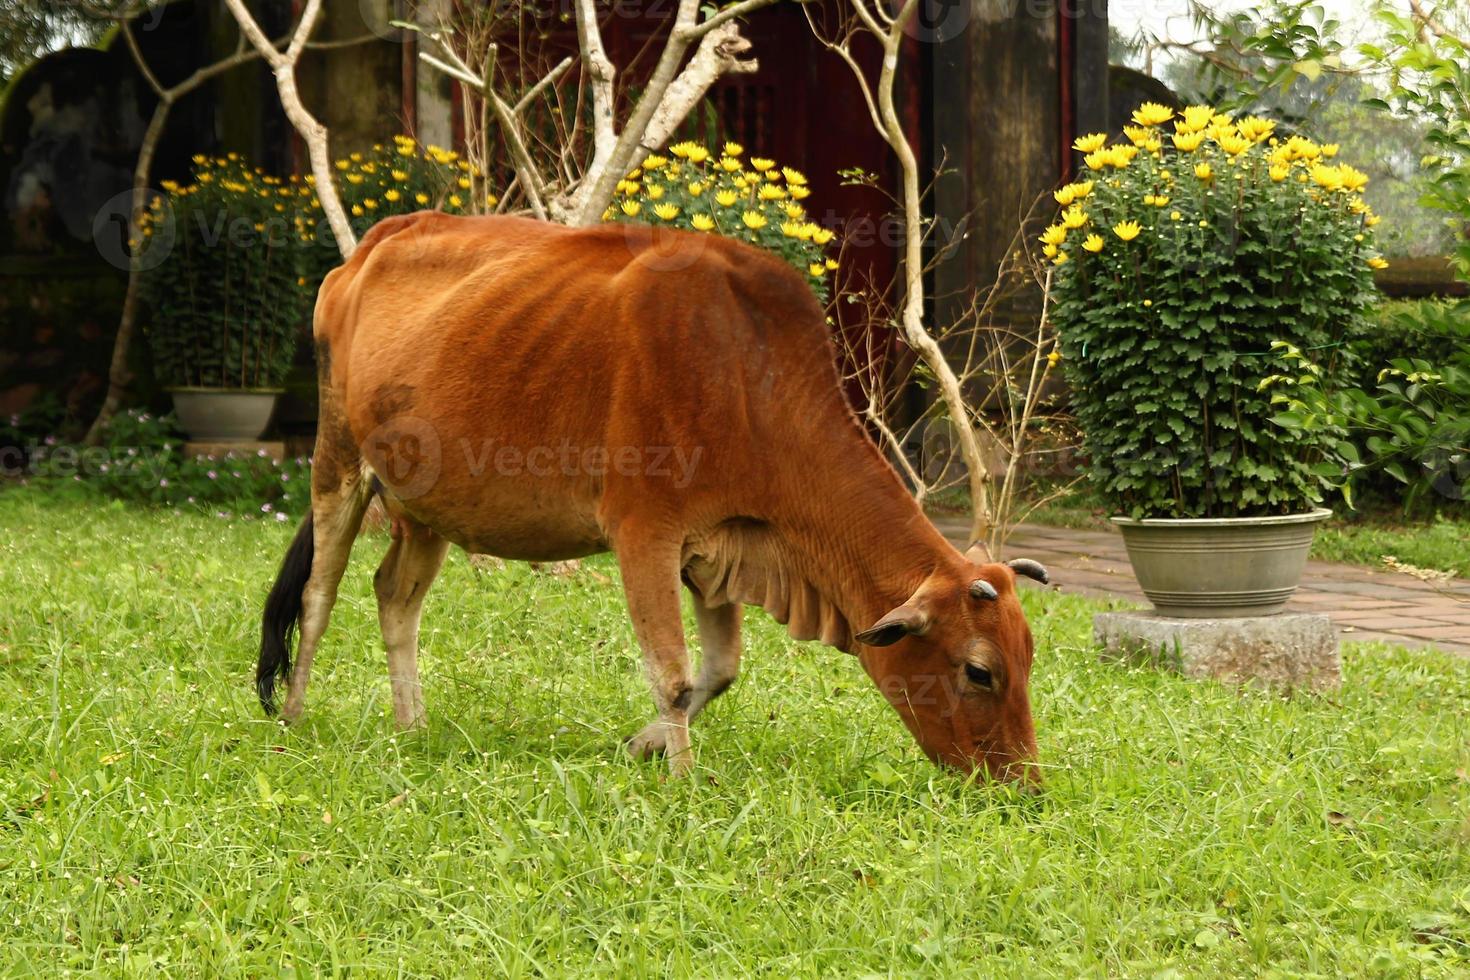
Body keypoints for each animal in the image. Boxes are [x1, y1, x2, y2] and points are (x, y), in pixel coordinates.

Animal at [261, 211, 1046, 787]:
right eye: (979, 670)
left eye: (1031, 655)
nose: (1021, 785)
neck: (750, 377)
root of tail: (370, 246)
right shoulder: (645, 533)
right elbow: (671, 674)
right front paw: (683, 780)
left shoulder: (722, 548)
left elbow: (719, 670)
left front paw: (644, 747)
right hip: (338, 460)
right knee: (319, 593)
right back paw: (295, 716)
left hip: (427, 507)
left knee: (395, 596)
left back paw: (412, 725)